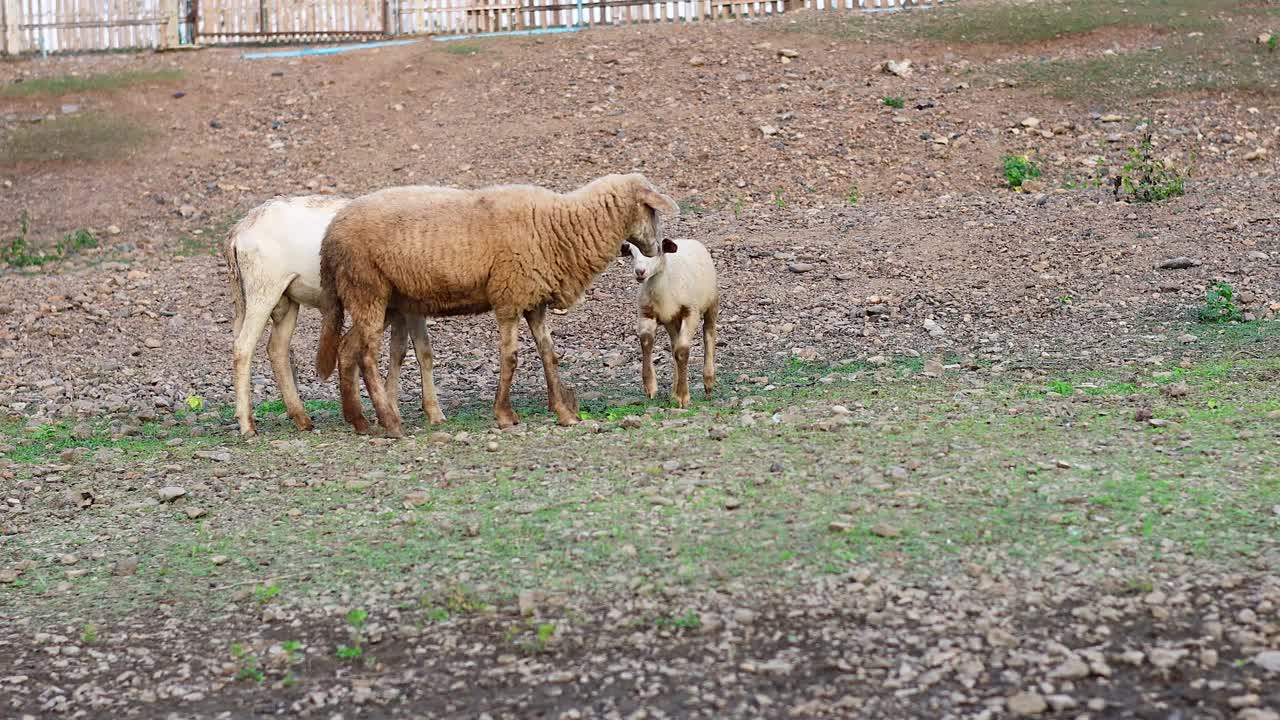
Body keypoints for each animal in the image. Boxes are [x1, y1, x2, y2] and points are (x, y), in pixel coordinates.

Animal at [217, 193, 442, 435]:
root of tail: (238, 231)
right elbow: (419, 351)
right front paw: (432, 413)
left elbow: (403, 352)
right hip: (263, 290)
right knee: (243, 347)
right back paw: (248, 426)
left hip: (282, 299)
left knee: (276, 348)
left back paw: (302, 418)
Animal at [316, 174, 680, 435]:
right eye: (652, 210)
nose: (658, 247)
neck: (561, 225)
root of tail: (329, 235)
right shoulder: (509, 296)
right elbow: (511, 357)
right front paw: (504, 414)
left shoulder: (533, 301)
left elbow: (548, 355)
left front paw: (563, 412)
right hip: (367, 289)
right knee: (365, 355)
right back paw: (390, 423)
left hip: (379, 299)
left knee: (347, 349)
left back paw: (359, 420)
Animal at [622, 238, 716, 407]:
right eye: (631, 252)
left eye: (657, 250)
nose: (639, 272)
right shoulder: (646, 314)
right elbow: (646, 342)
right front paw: (650, 386)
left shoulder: (691, 313)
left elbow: (683, 351)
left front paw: (683, 396)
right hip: (672, 321)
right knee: (674, 347)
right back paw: (673, 391)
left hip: (711, 302)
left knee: (709, 334)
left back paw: (708, 381)